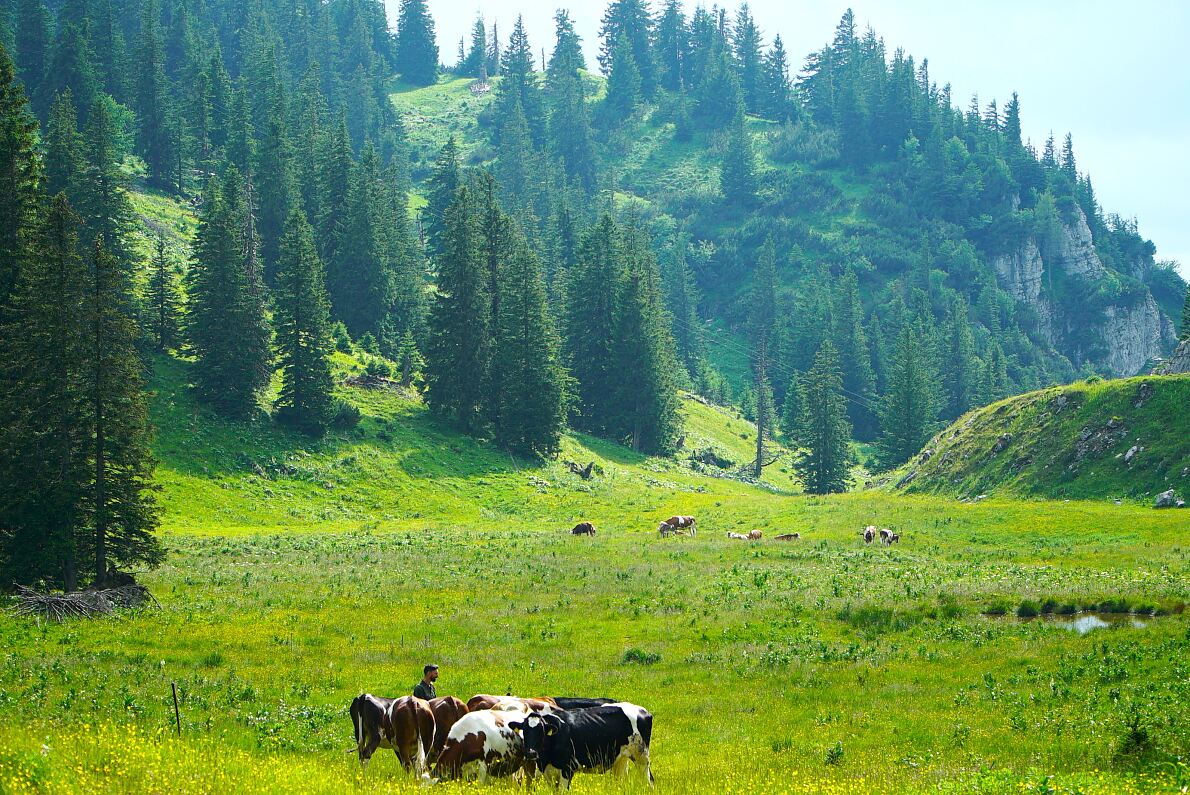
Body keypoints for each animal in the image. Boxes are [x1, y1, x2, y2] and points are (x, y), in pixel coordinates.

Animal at [511, 699, 661, 790]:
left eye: (541, 732)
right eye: (524, 731)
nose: (530, 753)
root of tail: (642, 710)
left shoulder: (567, 769)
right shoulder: (548, 772)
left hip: (642, 756)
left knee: (649, 781)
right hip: (621, 759)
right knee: (621, 781)